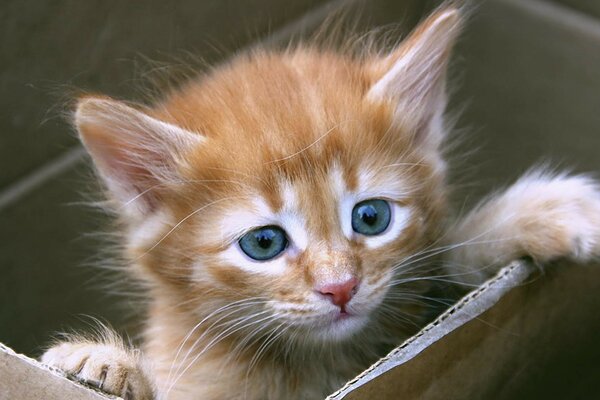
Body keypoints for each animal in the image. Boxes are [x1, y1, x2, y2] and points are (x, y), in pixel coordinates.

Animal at [39, 5, 600, 400]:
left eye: (371, 217)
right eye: (264, 243)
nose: (341, 287)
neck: (314, 364)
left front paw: (535, 213)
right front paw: (103, 366)